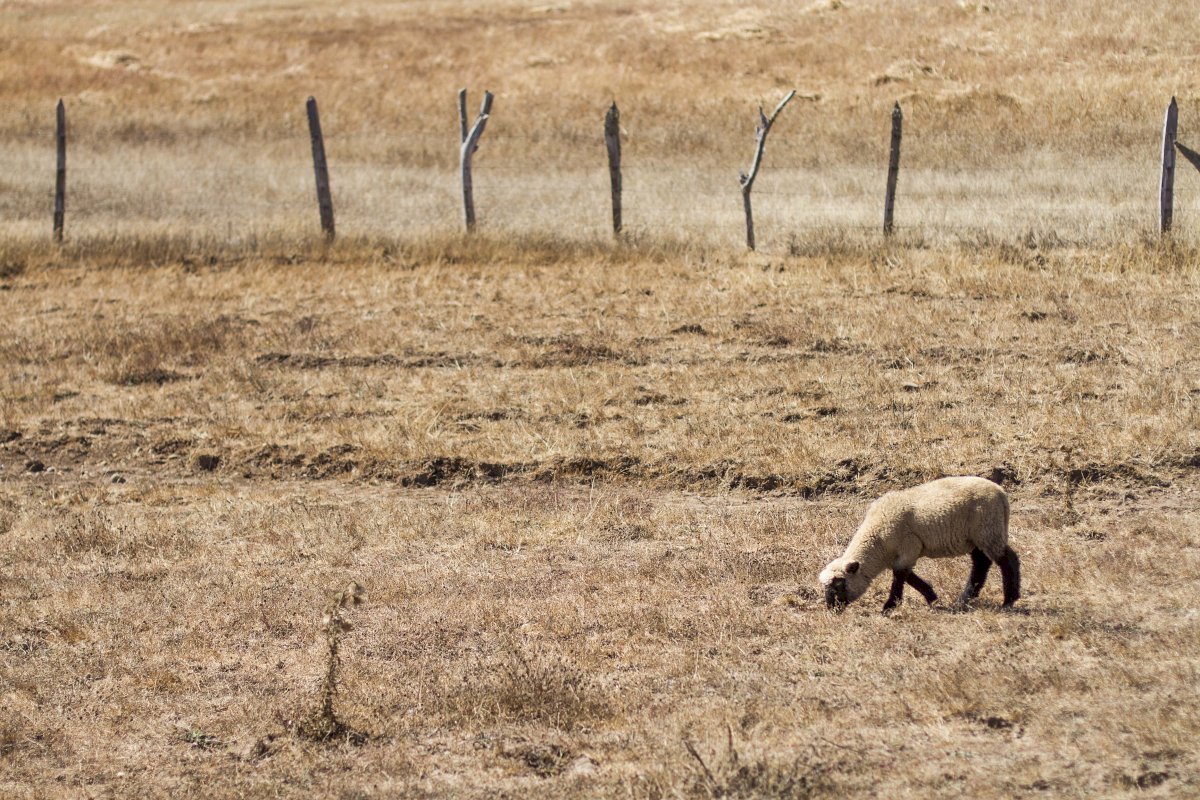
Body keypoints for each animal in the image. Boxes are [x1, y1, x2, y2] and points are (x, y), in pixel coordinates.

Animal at [816, 474, 1022, 614]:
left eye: (840, 585)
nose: (832, 609)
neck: (878, 542)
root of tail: (1001, 494)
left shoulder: (909, 547)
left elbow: (900, 575)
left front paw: (889, 607)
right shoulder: (899, 554)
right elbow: (909, 577)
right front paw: (932, 598)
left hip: (987, 529)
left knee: (1006, 560)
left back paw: (1008, 600)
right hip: (977, 536)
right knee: (981, 563)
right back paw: (965, 598)